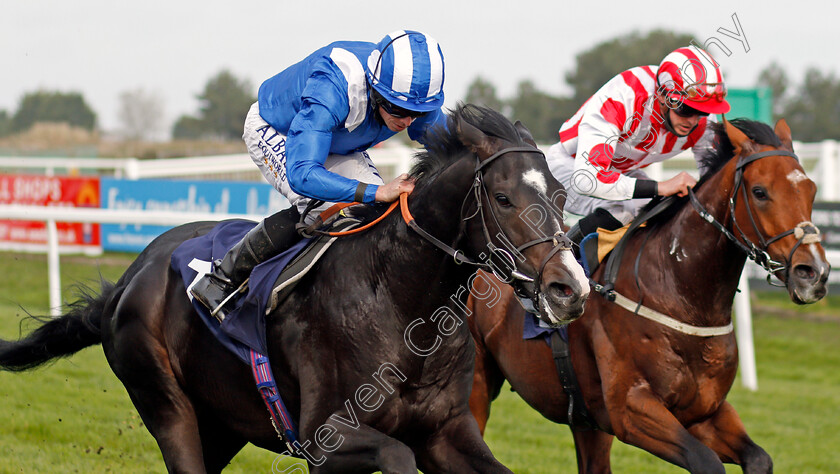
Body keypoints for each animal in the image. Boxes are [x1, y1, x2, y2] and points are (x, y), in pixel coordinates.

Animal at [1, 104, 592, 474]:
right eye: (503, 197)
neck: (400, 301)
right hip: (167, 405)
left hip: (221, 423)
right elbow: (396, 456)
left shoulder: (447, 432)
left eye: (561, 195)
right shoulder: (325, 439)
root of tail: (130, 277)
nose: (568, 288)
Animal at [470, 116, 832, 472]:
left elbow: (759, 458)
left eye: (811, 190)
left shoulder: (705, 411)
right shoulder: (631, 409)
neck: (680, 294)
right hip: (477, 384)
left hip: (588, 421)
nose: (813, 272)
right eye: (760, 192)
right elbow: (706, 461)